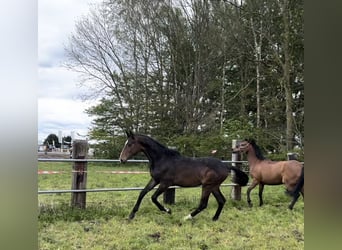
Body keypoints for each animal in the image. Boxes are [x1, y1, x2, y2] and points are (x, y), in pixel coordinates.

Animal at [119, 131, 247, 221]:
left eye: (130, 144)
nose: (122, 159)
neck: (162, 159)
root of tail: (226, 166)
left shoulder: (165, 183)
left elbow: (153, 197)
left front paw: (168, 210)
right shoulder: (155, 180)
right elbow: (142, 193)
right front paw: (131, 215)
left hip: (207, 186)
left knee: (203, 204)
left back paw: (187, 217)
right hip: (214, 186)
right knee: (221, 201)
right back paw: (214, 218)